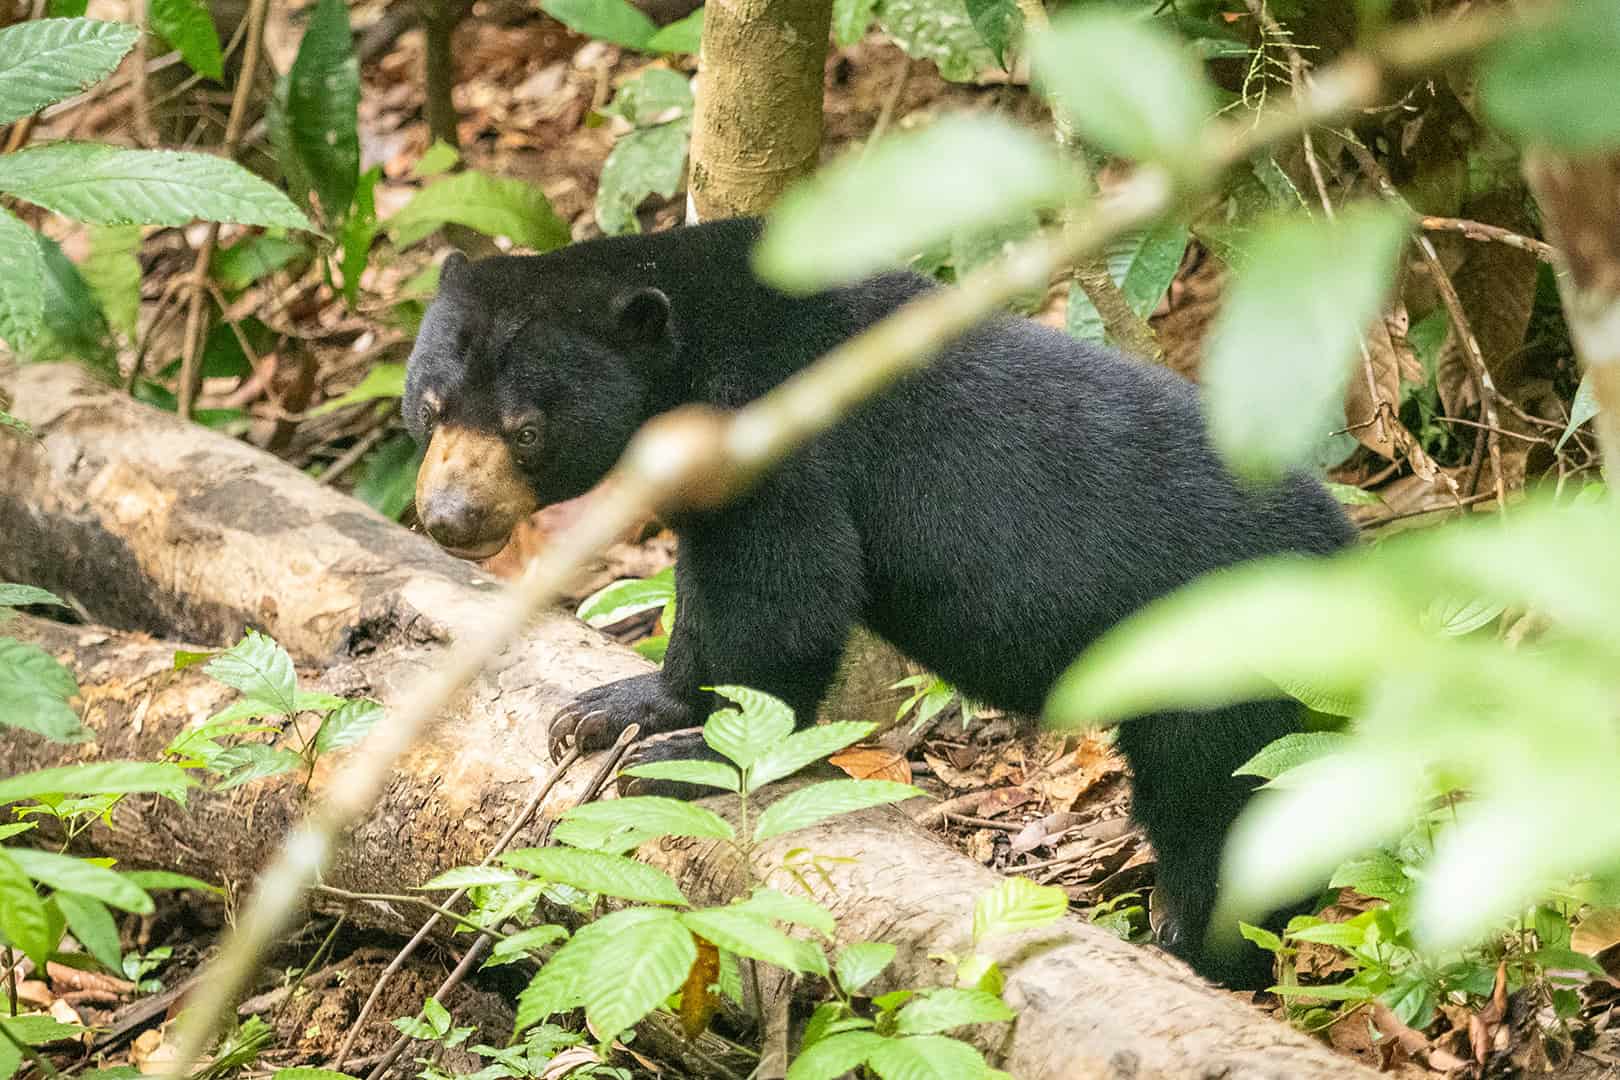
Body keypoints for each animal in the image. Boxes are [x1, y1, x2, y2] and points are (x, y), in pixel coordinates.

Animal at [402, 216, 1358, 987]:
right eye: (430, 405)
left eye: (527, 430)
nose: (449, 516)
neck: (691, 353)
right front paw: (609, 709)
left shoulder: (775, 435)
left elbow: (782, 596)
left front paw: (685, 751)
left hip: (1224, 664)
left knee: (1220, 812)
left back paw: (1200, 953)